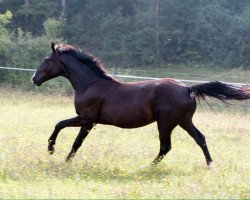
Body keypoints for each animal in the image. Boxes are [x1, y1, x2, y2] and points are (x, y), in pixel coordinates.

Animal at [31, 43, 250, 166]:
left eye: (47, 60)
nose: (34, 78)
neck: (91, 84)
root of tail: (187, 88)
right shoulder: (88, 121)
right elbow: (73, 139)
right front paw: (64, 158)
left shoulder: (87, 119)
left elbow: (63, 128)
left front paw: (53, 151)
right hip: (184, 121)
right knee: (200, 139)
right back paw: (210, 164)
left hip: (166, 123)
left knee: (165, 146)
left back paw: (147, 166)